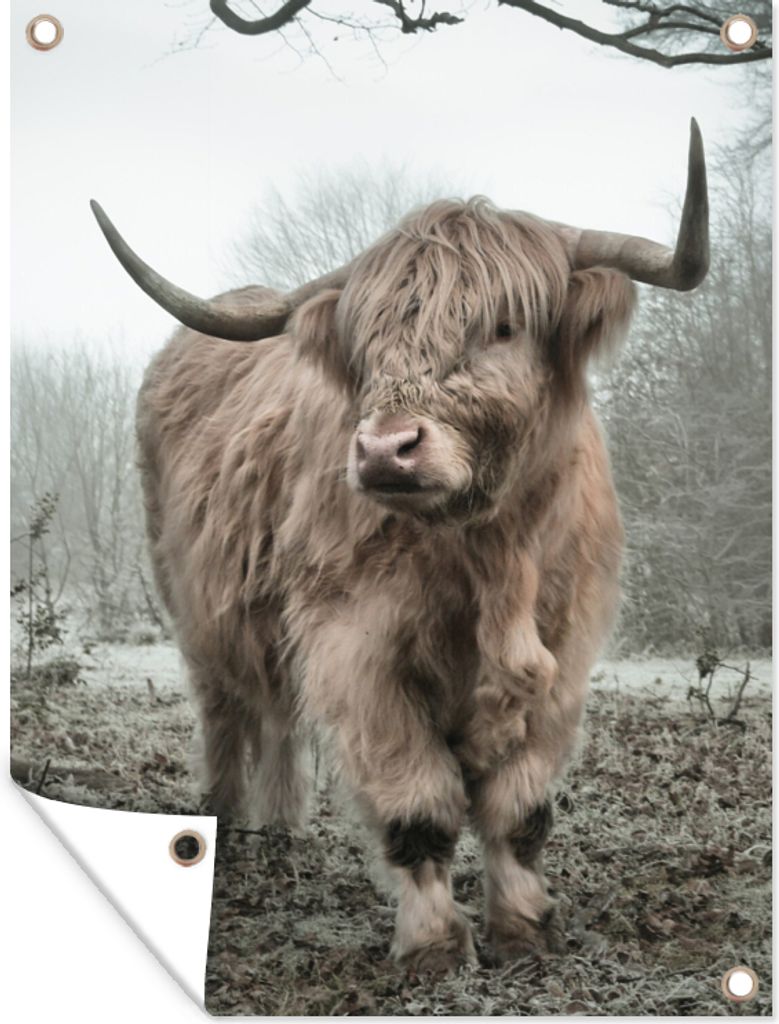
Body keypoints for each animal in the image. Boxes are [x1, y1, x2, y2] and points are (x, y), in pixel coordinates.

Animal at [91, 120, 708, 972]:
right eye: (368, 343)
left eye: (503, 326)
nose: (386, 450)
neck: (490, 556)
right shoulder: (357, 649)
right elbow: (419, 806)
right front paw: (434, 946)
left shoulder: (564, 652)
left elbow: (520, 809)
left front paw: (523, 928)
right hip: (194, 606)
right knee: (227, 714)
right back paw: (226, 828)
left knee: (278, 716)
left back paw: (280, 829)